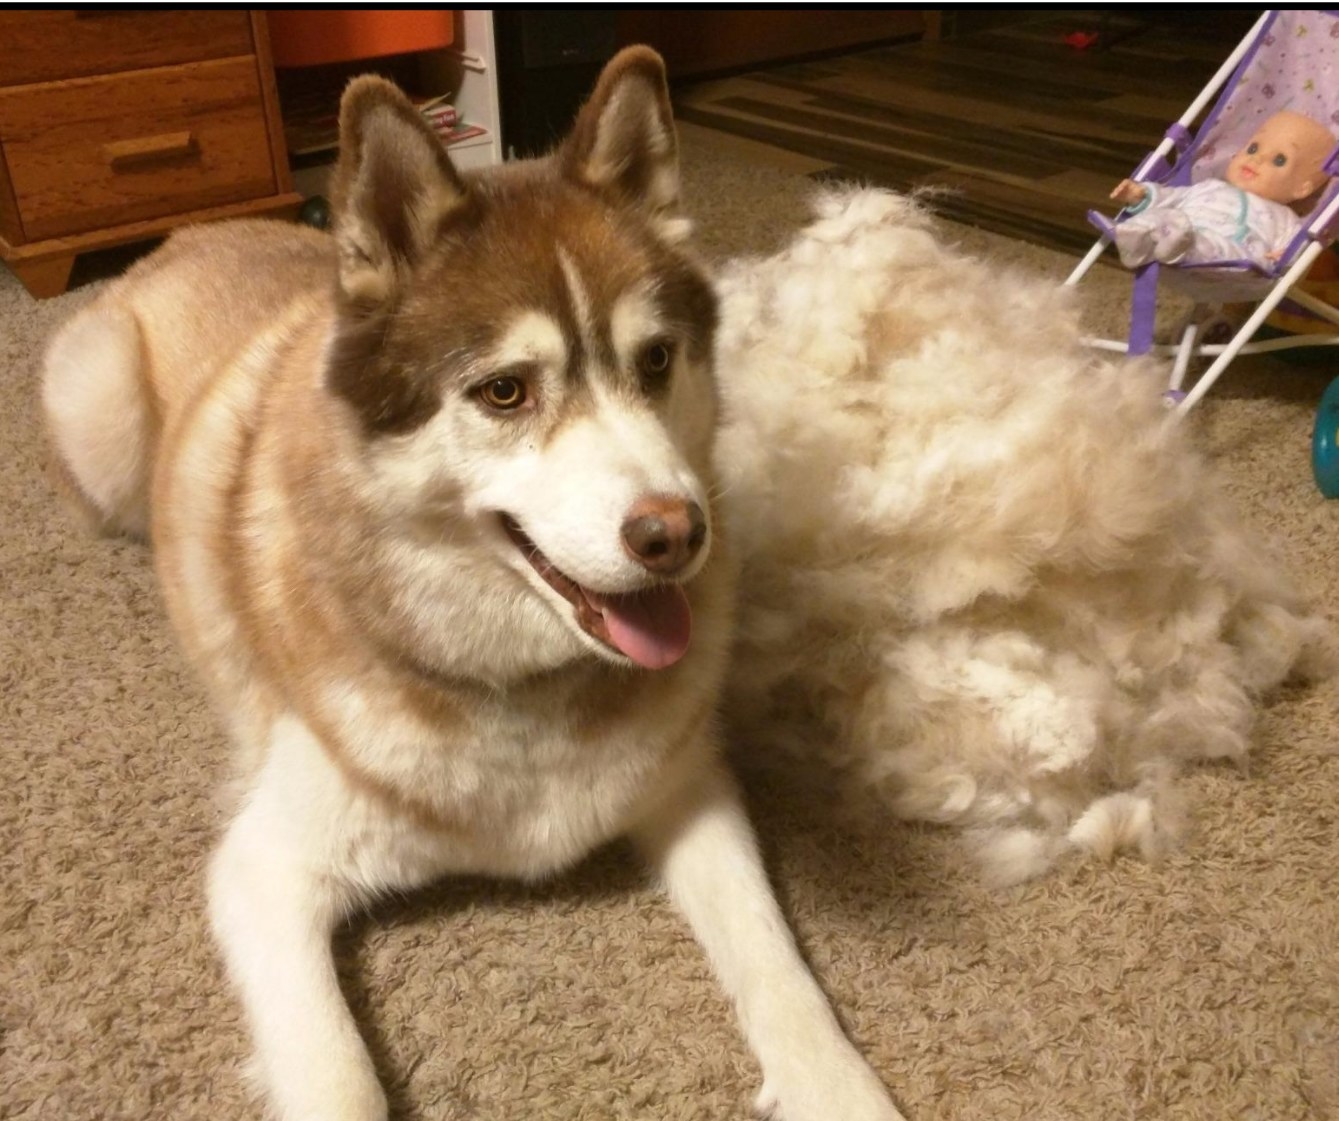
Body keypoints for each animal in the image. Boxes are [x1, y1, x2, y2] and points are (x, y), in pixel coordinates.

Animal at [41, 45, 899, 1119]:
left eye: (657, 359)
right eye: (504, 391)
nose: (678, 533)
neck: (521, 694)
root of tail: (200, 228)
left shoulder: (692, 787)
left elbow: (779, 963)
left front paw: (839, 1085)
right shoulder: (263, 873)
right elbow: (339, 1074)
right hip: (103, 407)